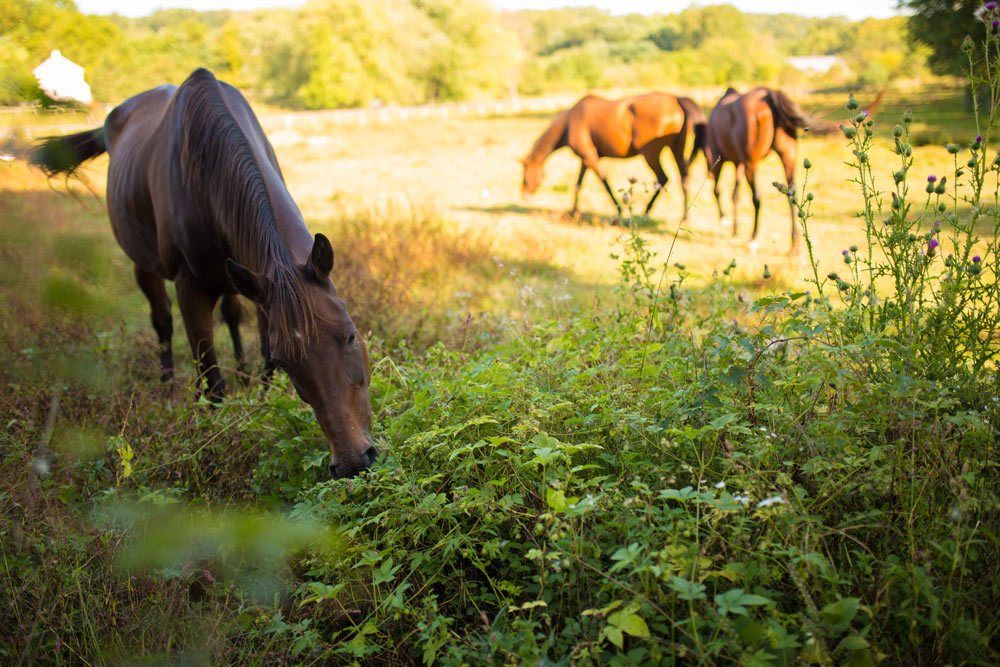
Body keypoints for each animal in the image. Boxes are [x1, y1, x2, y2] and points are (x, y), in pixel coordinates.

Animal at [31, 69, 376, 480]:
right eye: (287, 361)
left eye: (350, 335)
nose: (353, 462)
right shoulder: (191, 288)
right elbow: (212, 377)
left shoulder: (265, 292)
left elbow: (255, 355)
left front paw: (259, 400)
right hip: (145, 267)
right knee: (163, 323)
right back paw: (170, 389)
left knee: (230, 314)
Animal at [520, 92, 708, 222]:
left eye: (525, 176)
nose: (524, 195)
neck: (570, 123)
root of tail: (676, 99)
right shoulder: (585, 159)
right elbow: (578, 184)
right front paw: (573, 212)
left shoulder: (590, 157)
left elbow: (603, 181)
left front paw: (619, 210)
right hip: (677, 148)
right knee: (684, 177)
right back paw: (685, 217)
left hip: (651, 153)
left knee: (663, 178)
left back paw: (645, 212)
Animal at [704, 87, 812, 252]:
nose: (708, 174)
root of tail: (768, 93)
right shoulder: (739, 164)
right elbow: (735, 195)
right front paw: (735, 229)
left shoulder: (720, 158)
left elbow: (717, 190)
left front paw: (725, 221)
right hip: (788, 155)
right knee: (791, 195)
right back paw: (794, 245)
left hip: (751, 163)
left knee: (756, 197)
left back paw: (753, 238)